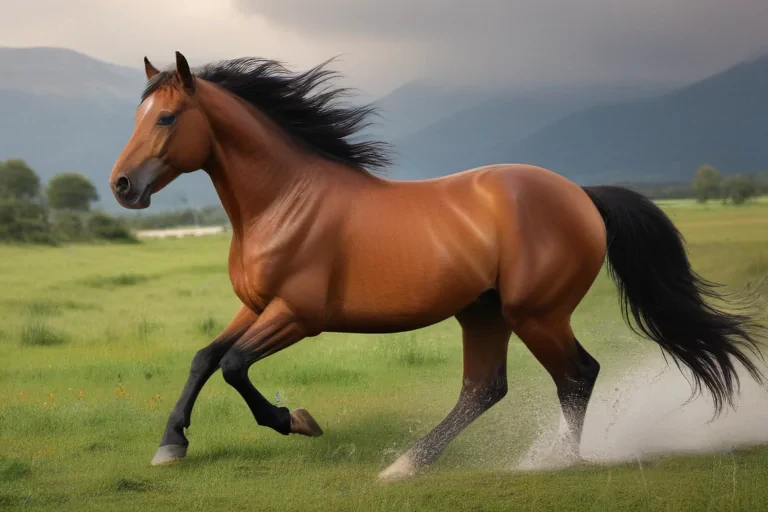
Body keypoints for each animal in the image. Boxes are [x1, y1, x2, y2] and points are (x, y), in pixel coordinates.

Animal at [108, 51, 766, 480]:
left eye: (166, 118)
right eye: (137, 117)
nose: (122, 186)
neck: (284, 202)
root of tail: (580, 194)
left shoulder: (297, 314)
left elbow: (235, 367)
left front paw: (297, 419)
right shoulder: (254, 306)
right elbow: (205, 358)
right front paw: (170, 446)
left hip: (537, 314)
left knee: (577, 375)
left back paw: (551, 462)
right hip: (484, 314)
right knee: (485, 388)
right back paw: (407, 465)